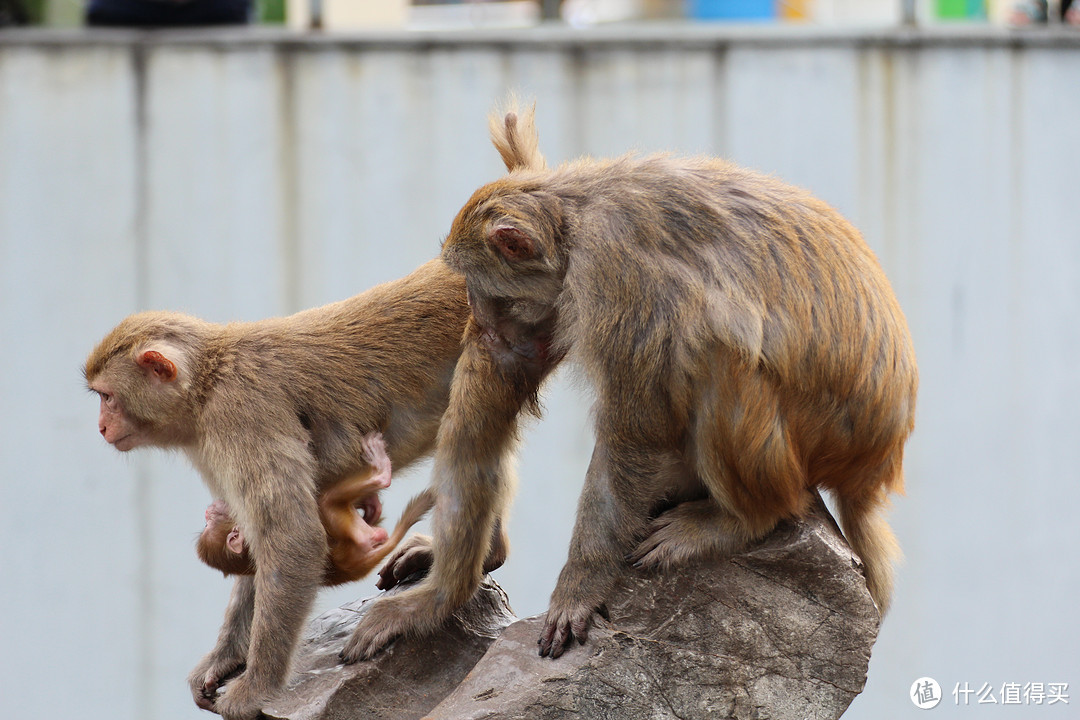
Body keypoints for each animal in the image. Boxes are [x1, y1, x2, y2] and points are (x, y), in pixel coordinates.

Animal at [88, 260, 486, 720]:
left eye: (107, 397)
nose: (101, 427)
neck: (206, 387)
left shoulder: (240, 415)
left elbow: (291, 537)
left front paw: (255, 687)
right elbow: (255, 536)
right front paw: (224, 657)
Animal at [341, 102, 915, 664]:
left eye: (478, 284)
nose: (477, 323)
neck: (575, 218)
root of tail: (873, 468)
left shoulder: (618, 279)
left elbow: (634, 431)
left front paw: (580, 583)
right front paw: (443, 588)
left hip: (815, 440)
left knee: (717, 355)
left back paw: (742, 519)